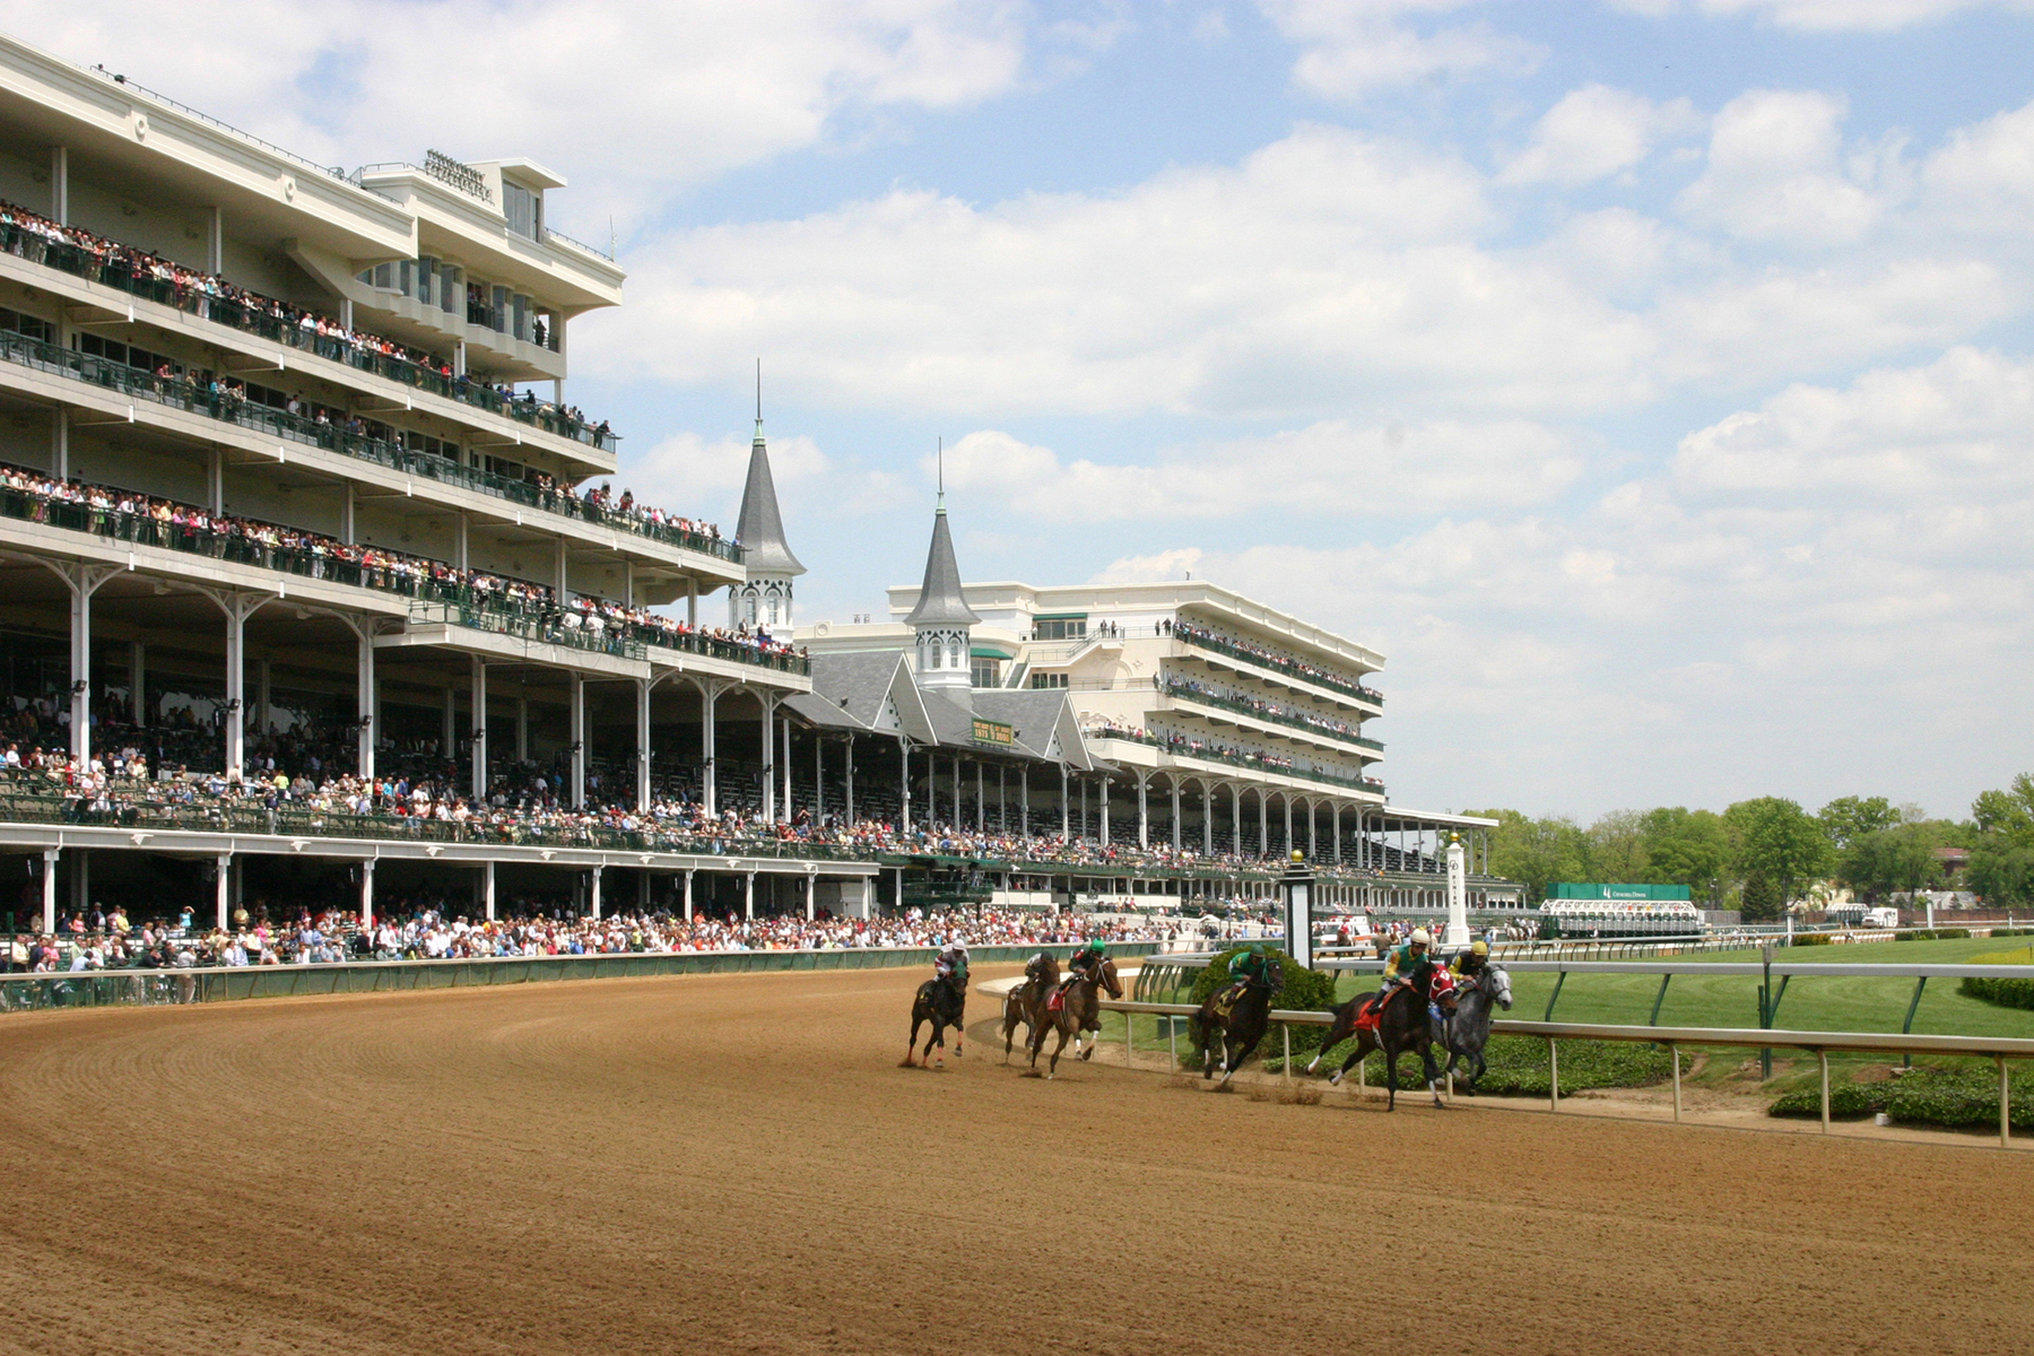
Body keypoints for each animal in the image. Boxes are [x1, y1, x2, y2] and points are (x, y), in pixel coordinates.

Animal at [1301, 971, 1448, 1105]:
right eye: (1437, 982)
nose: (1448, 1002)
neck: (1410, 1010)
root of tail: (1351, 1001)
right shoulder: (1392, 1048)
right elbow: (1394, 1077)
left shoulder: (1421, 1045)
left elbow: (1429, 1066)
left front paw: (1438, 1095)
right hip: (1341, 1029)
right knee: (1325, 1046)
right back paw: (1310, 1068)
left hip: (1367, 1044)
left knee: (1351, 1059)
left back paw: (1335, 1080)